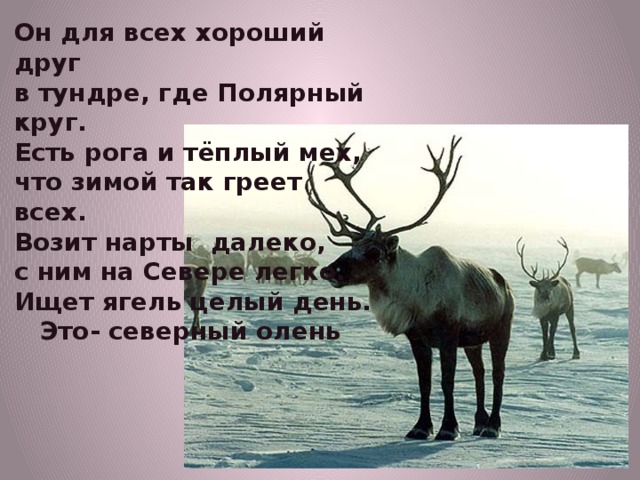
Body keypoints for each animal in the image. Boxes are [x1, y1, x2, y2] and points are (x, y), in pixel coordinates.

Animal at [306, 133, 515, 440]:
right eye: (352, 246)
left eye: (374, 252)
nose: (328, 270)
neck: (416, 294)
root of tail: (504, 283)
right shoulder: (417, 339)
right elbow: (423, 384)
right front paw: (420, 427)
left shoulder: (448, 336)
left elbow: (447, 382)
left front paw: (448, 429)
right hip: (473, 341)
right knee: (480, 372)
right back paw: (479, 422)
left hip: (501, 329)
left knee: (498, 372)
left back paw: (493, 426)